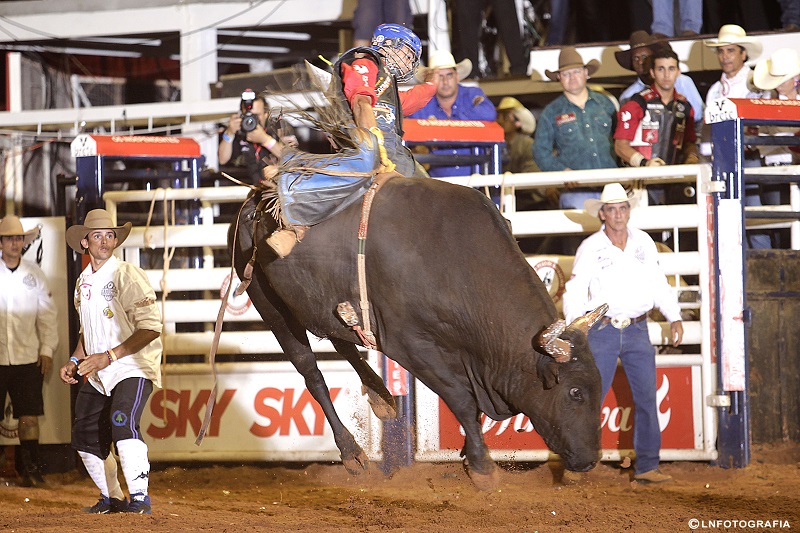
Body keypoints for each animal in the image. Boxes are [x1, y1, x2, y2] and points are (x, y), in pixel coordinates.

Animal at [227, 148, 608, 488]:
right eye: (575, 392)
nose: (590, 460)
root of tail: (255, 200)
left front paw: (470, 455)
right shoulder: (412, 345)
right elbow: (461, 399)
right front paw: (482, 467)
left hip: (314, 301)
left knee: (342, 339)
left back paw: (380, 396)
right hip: (270, 304)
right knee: (311, 370)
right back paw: (352, 452)